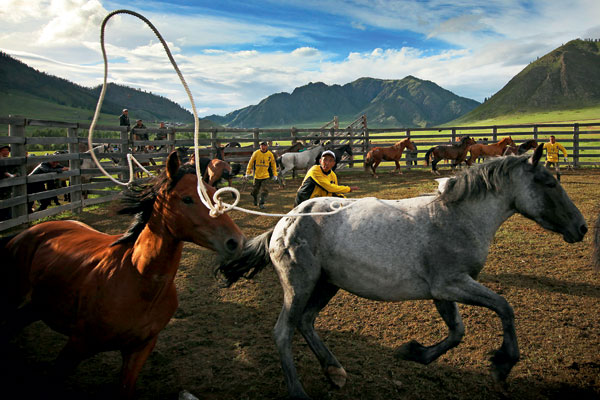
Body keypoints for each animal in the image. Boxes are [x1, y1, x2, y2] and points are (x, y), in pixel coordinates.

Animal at [1, 152, 244, 398]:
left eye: (214, 193)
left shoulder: (140, 349)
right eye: (187, 199)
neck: (138, 277)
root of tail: (25, 233)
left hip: (34, 308)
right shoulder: (77, 345)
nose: (235, 241)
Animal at [216, 144, 584, 400]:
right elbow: (503, 308)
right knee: (284, 331)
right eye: (549, 182)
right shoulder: (452, 284)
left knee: (306, 322)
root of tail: (284, 221)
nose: (580, 228)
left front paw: (414, 352)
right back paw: (298, 391)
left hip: (326, 284)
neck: (456, 217)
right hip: (300, 285)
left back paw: (335, 371)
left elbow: (457, 331)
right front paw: (502, 363)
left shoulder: (444, 291)